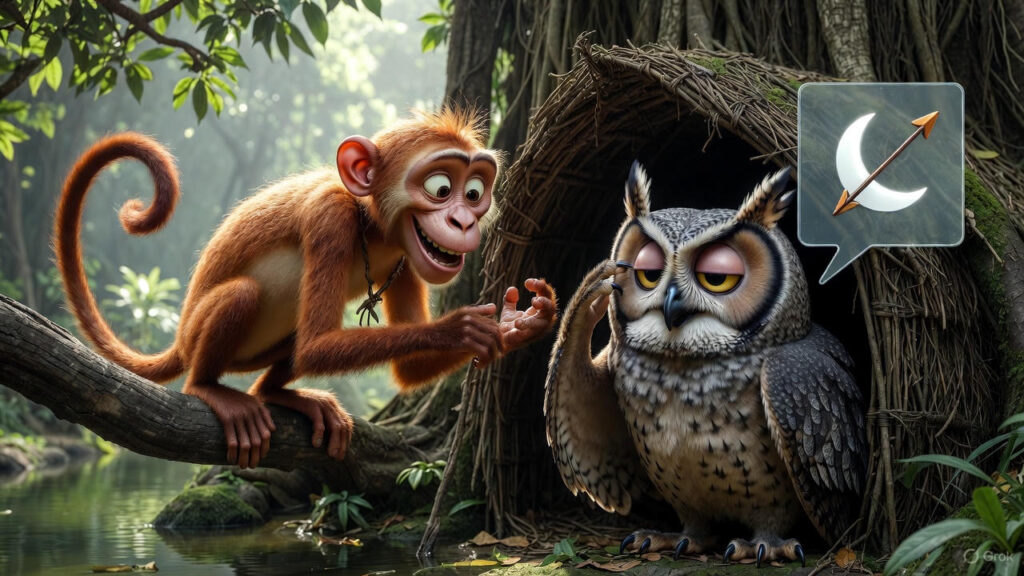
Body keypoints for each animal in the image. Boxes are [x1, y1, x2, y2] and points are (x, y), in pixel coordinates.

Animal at [55, 108, 557, 469]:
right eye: (440, 187)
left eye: (474, 193)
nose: (464, 222)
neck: (370, 224)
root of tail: (180, 341)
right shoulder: (328, 217)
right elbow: (317, 346)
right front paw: (459, 329)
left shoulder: (408, 257)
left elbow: (408, 369)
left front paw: (519, 327)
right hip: (201, 337)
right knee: (243, 298)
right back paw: (208, 388)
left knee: (288, 347)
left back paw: (276, 394)